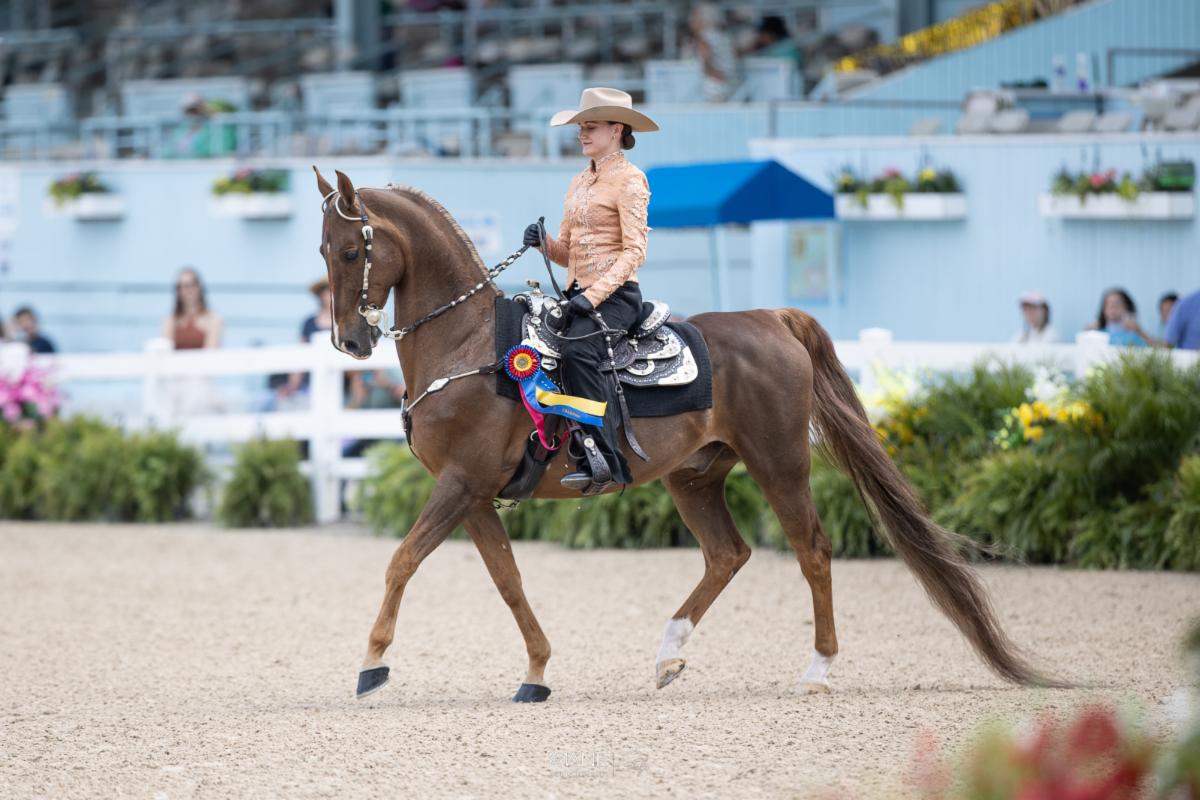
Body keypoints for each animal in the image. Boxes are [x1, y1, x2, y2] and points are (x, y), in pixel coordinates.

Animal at [313, 167, 1051, 702]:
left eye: (351, 249)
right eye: (322, 250)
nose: (349, 341)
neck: (468, 344)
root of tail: (773, 318)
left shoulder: (462, 482)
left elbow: (402, 560)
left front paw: (372, 665)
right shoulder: (472, 494)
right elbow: (508, 580)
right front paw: (537, 672)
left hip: (780, 465)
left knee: (812, 551)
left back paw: (817, 670)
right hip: (694, 477)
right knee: (727, 554)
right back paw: (669, 656)